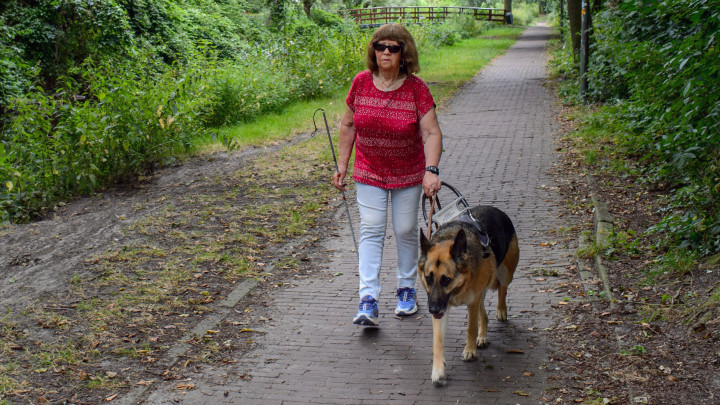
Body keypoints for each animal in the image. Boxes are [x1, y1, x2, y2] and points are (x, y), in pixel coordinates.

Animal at [416, 204, 516, 384]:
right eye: (428, 278)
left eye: (446, 280)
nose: (432, 310)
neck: (458, 290)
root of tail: (492, 208)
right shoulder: (444, 308)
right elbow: (437, 341)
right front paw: (438, 370)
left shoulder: (472, 302)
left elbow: (471, 327)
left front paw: (470, 350)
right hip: (480, 294)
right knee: (484, 315)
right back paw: (482, 337)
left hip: (505, 274)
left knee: (503, 288)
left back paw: (501, 310)